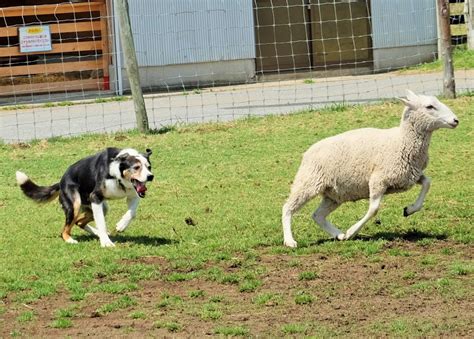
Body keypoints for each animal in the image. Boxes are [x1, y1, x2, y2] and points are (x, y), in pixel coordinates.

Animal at [282, 91, 460, 248]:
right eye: (429, 106)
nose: (456, 120)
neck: (401, 140)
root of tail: (307, 152)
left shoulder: (409, 176)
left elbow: (427, 183)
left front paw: (409, 210)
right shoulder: (378, 180)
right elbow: (374, 209)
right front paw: (352, 232)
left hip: (334, 194)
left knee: (317, 215)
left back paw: (338, 235)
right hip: (308, 182)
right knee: (287, 208)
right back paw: (290, 241)